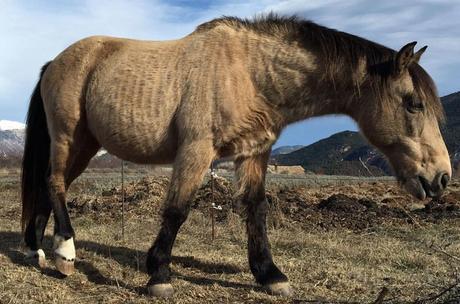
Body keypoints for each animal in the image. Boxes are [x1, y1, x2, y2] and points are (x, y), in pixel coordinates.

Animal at [19, 14, 452, 296]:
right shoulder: (196, 149)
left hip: (87, 144)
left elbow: (255, 208)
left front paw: (270, 275)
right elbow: (177, 209)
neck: (250, 72)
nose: (441, 178)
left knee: (49, 185)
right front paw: (159, 275)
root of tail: (55, 61)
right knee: (55, 182)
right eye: (414, 104)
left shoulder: (255, 153)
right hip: (68, 136)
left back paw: (38, 250)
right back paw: (65, 252)